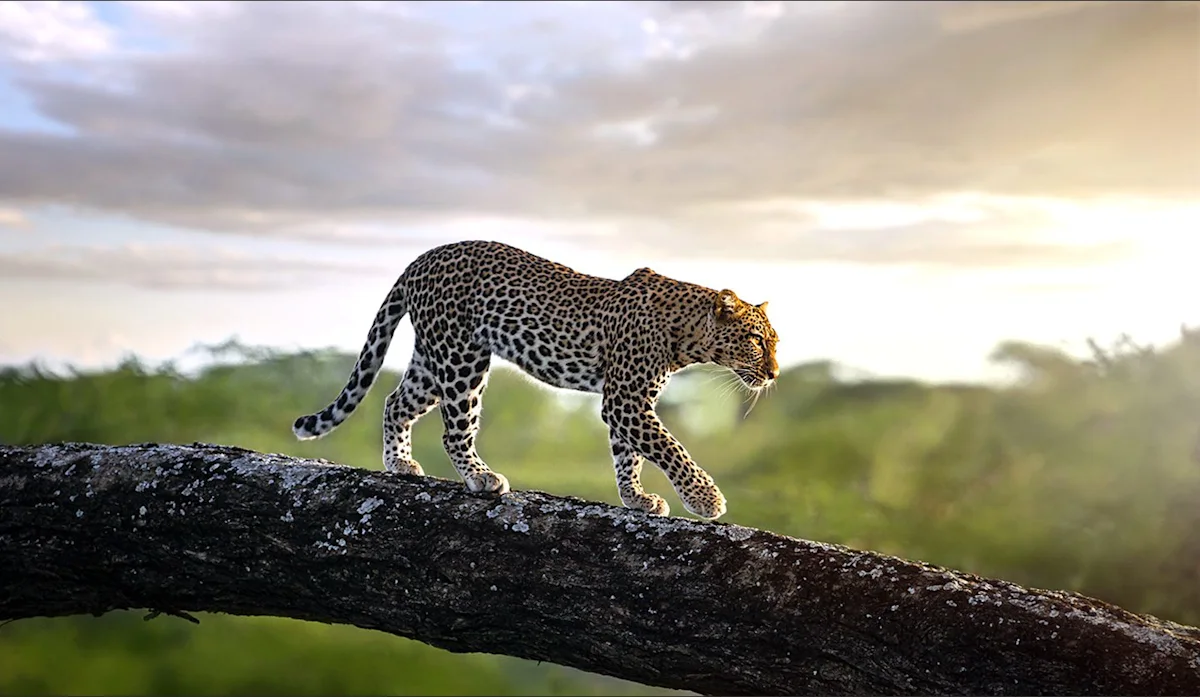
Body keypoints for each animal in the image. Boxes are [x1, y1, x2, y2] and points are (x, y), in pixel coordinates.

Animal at [292, 240, 779, 519]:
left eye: (774, 342)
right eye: (756, 341)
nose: (774, 373)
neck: (689, 336)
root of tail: (422, 257)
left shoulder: (627, 401)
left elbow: (630, 456)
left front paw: (636, 498)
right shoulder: (625, 399)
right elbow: (669, 448)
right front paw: (706, 500)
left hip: (433, 359)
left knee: (396, 402)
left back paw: (400, 464)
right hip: (462, 357)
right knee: (454, 430)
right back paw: (481, 477)